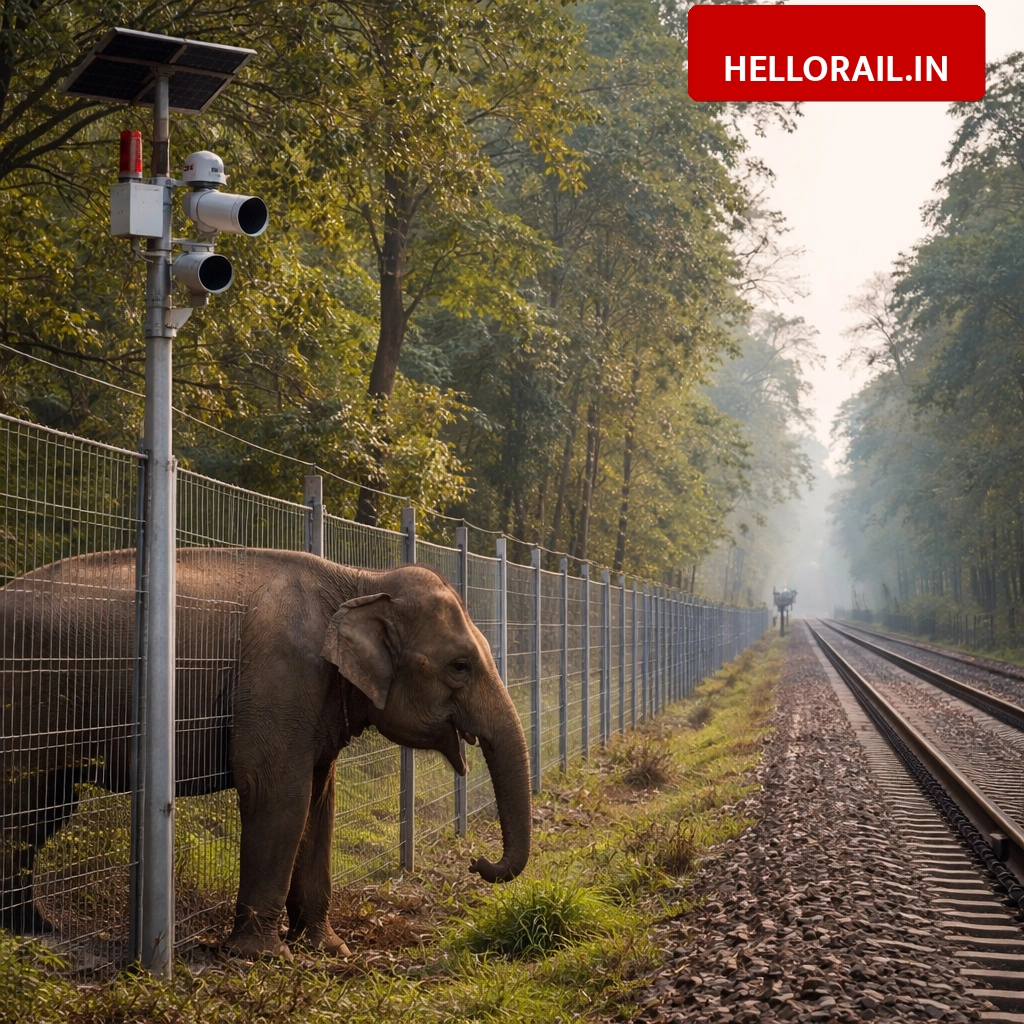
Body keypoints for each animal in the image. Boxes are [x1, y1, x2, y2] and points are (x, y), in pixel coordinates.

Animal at [0, 547, 531, 957]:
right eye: (459, 666)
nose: (476, 862)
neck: (361, 581)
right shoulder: (282, 673)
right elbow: (277, 792)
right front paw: (262, 956)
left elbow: (320, 800)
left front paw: (328, 948)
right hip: (24, 696)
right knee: (22, 799)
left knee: (46, 810)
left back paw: (37, 929)